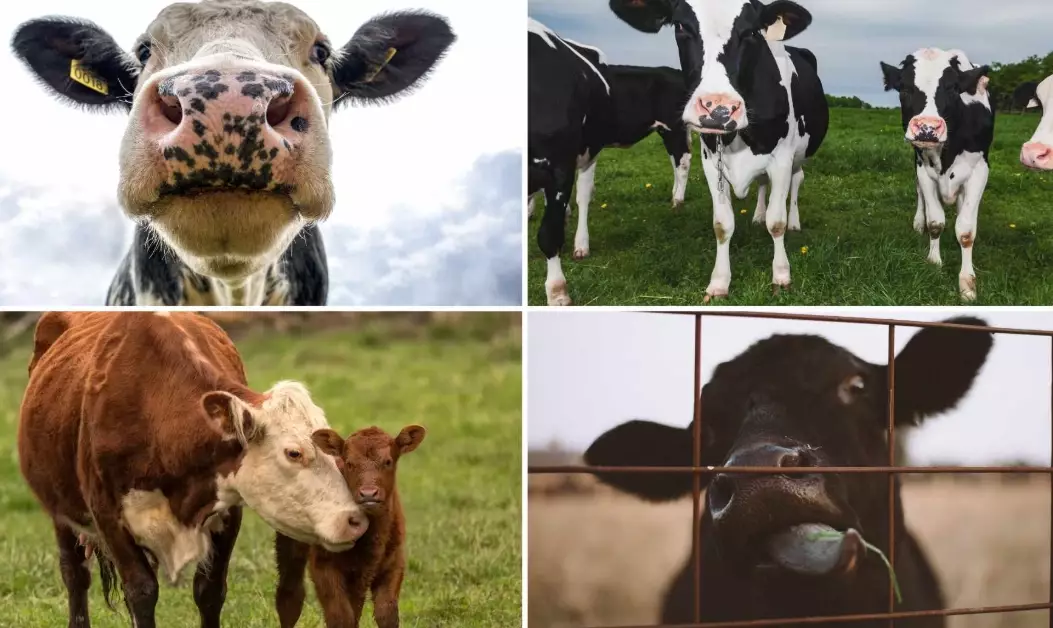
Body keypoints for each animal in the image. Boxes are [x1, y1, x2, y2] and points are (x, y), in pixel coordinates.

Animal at [18, 311, 369, 628]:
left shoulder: (228, 509)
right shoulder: (107, 514)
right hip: (61, 514)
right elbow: (141, 591)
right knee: (75, 574)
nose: (355, 520)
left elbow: (209, 591)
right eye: (294, 453)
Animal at [274, 424, 426, 628]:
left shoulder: (393, 563)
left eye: (388, 462)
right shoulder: (324, 566)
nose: (368, 493)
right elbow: (341, 617)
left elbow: (386, 612)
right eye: (349, 463)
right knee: (290, 595)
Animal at [528, 63, 693, 260]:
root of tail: (673, 71)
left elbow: (581, 194)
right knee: (675, 160)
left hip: (673, 128)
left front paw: (581, 245)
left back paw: (678, 201)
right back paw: (674, 193)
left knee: (683, 161)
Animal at [607, 0, 829, 301]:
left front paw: (781, 277)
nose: (719, 109)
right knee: (762, 183)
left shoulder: (782, 158)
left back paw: (794, 221)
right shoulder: (711, 161)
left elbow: (777, 221)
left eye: (752, 31)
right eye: (681, 26)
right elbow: (723, 225)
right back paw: (757, 215)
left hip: (799, 154)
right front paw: (719, 283)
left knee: (797, 182)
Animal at [880, 49, 994, 301]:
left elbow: (966, 230)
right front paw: (934, 262)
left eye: (952, 89)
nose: (927, 128)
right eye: (904, 89)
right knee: (919, 194)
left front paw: (967, 283)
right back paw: (918, 222)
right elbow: (935, 221)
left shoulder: (980, 170)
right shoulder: (923, 168)